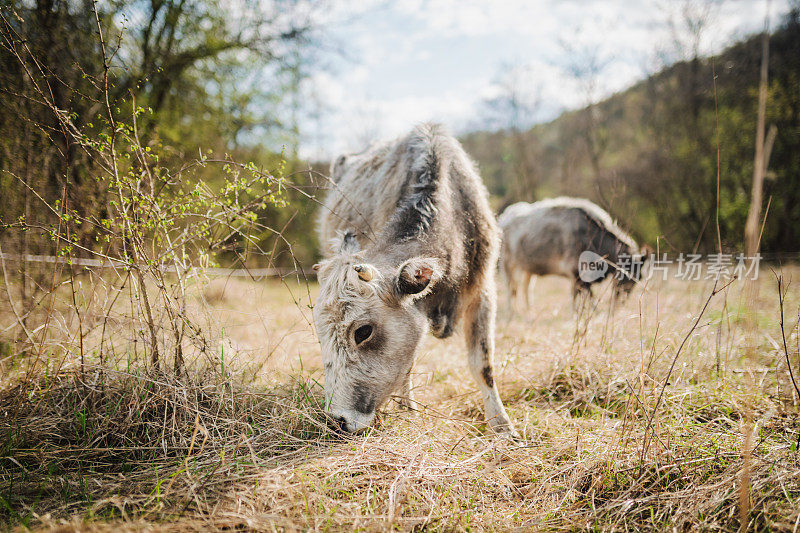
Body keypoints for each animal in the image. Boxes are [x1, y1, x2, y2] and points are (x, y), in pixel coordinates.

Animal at [312, 124, 512, 436]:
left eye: (363, 332)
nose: (336, 420)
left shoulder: (484, 291)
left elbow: (483, 365)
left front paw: (502, 426)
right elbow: (407, 364)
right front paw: (407, 411)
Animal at [496, 196, 648, 308]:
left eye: (639, 278)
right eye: (625, 274)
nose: (621, 302)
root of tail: (506, 215)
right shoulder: (576, 273)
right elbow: (582, 298)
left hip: (529, 268)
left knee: (526, 289)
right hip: (506, 264)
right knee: (511, 290)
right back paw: (511, 314)